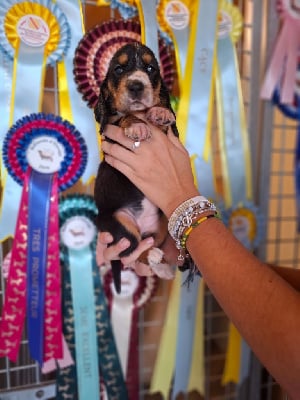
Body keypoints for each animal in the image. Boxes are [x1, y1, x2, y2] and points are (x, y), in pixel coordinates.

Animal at [94, 42, 178, 292]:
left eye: (150, 68)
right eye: (119, 69)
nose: (136, 86)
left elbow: (161, 115)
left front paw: (160, 112)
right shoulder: (110, 136)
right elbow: (123, 117)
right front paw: (136, 125)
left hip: (163, 223)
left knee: (148, 244)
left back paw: (161, 265)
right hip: (120, 227)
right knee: (133, 249)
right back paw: (153, 259)